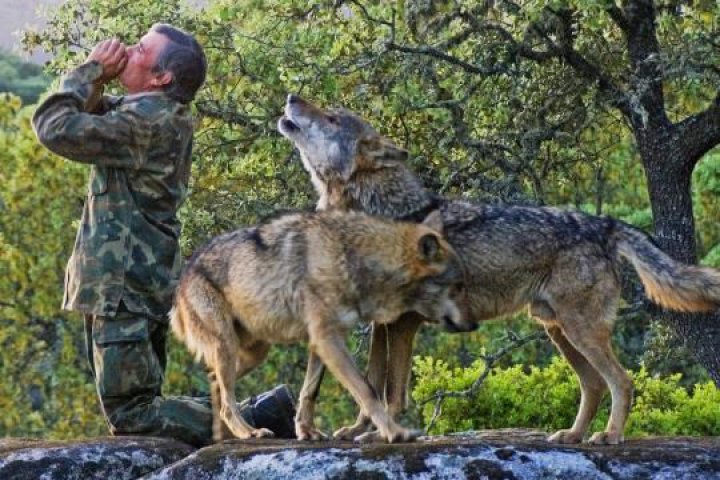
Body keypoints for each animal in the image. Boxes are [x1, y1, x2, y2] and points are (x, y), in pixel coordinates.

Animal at [172, 209, 470, 442]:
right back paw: (248, 432)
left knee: (216, 385)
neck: (354, 258)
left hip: (254, 353)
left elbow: (310, 391)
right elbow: (366, 390)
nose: (471, 324)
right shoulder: (327, 338)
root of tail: (183, 276)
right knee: (225, 398)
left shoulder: (321, 340)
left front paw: (307, 431)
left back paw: (225, 436)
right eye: (456, 286)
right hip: (228, 346)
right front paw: (395, 433)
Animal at [278, 94, 720, 446]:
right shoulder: (383, 324)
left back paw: (609, 436)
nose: (292, 96)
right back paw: (573, 435)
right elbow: (370, 382)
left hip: (579, 330)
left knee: (622, 381)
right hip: (558, 331)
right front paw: (358, 431)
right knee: (594, 383)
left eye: (332, 118)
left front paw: (378, 434)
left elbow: (390, 389)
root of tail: (603, 223)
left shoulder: (404, 323)